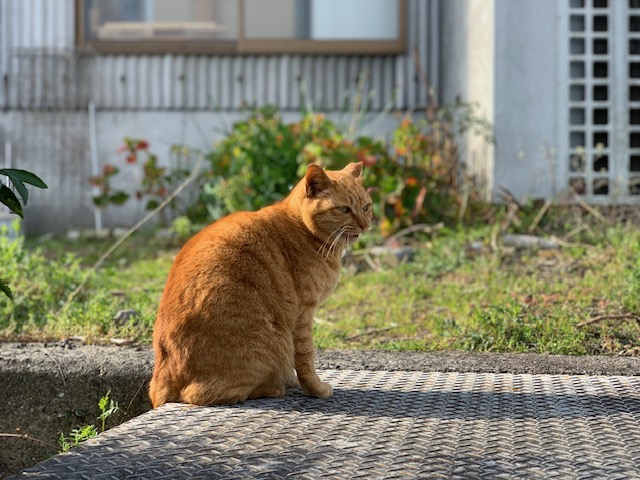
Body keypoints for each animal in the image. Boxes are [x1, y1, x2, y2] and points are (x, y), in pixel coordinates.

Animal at [149, 161, 370, 404]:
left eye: (366, 207)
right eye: (344, 210)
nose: (364, 225)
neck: (304, 230)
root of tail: (161, 379)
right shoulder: (304, 314)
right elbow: (306, 358)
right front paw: (316, 388)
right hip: (273, 340)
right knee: (199, 394)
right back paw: (274, 387)